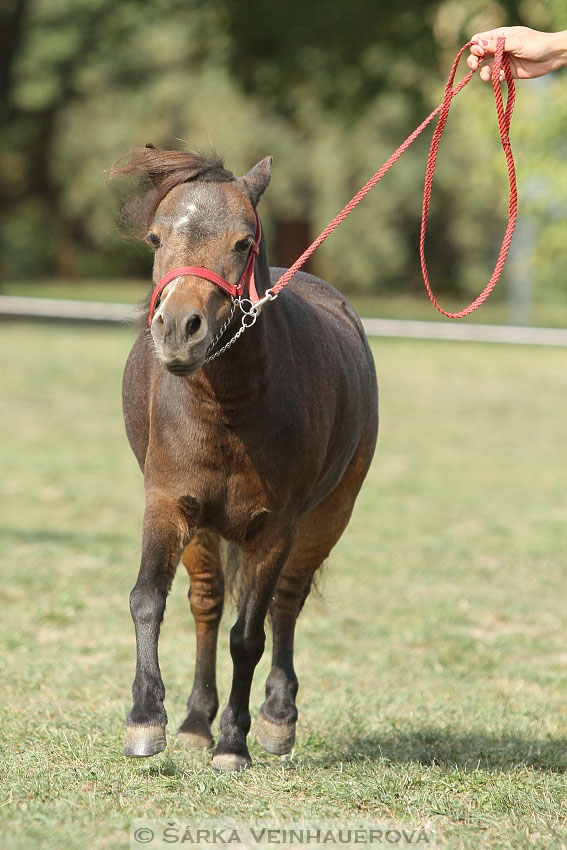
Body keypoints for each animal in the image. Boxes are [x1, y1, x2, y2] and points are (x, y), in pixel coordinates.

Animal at [110, 146, 378, 768]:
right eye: (156, 238)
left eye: (242, 242)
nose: (179, 330)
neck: (227, 409)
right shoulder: (168, 503)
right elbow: (148, 600)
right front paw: (146, 719)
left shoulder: (274, 529)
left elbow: (248, 635)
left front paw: (234, 742)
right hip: (205, 529)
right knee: (207, 604)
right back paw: (194, 721)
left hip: (328, 516)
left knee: (286, 603)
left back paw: (277, 718)